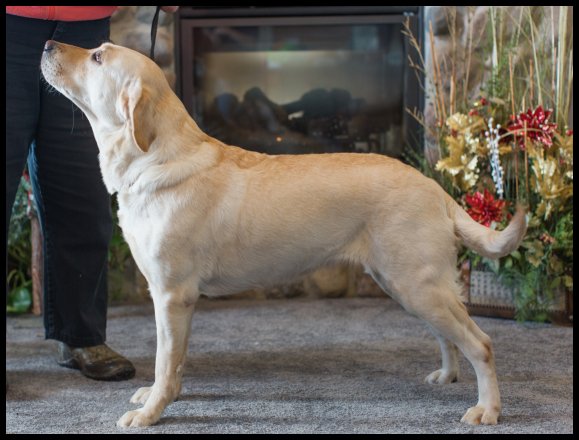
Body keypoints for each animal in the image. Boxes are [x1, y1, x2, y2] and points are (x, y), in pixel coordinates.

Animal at [40, 40, 528, 426]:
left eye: (98, 56)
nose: (46, 43)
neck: (152, 158)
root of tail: (435, 187)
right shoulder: (175, 300)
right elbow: (174, 363)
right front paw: (159, 399)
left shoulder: (172, 295)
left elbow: (164, 361)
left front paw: (150, 413)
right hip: (408, 285)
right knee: (450, 335)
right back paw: (447, 375)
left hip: (416, 284)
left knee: (481, 343)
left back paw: (487, 409)